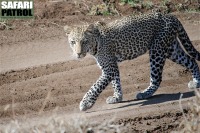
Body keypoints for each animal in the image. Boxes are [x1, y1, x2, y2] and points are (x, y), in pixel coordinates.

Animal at [63, 12, 200, 111]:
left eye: (84, 41)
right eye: (73, 42)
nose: (78, 53)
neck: (95, 45)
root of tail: (171, 16)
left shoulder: (108, 68)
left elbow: (95, 86)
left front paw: (86, 103)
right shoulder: (112, 67)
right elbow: (116, 82)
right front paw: (117, 97)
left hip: (157, 49)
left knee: (157, 78)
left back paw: (145, 93)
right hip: (171, 49)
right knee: (191, 61)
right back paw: (196, 83)